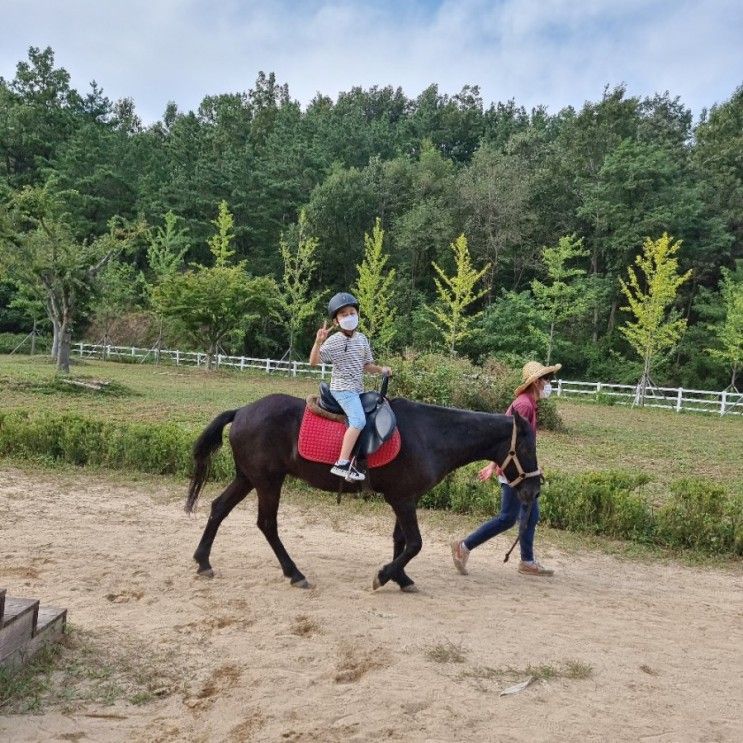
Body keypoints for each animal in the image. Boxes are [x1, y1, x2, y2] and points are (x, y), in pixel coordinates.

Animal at [187, 396, 540, 592]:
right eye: (526, 447)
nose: (535, 490)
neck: (431, 434)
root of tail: (242, 410)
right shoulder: (403, 500)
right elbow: (415, 543)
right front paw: (384, 576)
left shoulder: (404, 498)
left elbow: (401, 541)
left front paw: (401, 578)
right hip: (268, 481)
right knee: (267, 524)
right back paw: (295, 573)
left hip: (248, 478)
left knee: (218, 508)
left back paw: (203, 561)